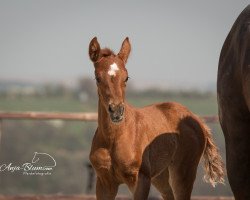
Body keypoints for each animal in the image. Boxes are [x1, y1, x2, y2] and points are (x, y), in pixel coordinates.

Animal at [88, 38, 225, 200]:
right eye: (97, 78)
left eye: (126, 77)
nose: (116, 111)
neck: (114, 138)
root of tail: (196, 119)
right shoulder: (104, 182)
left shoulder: (140, 179)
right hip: (160, 175)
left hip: (183, 172)